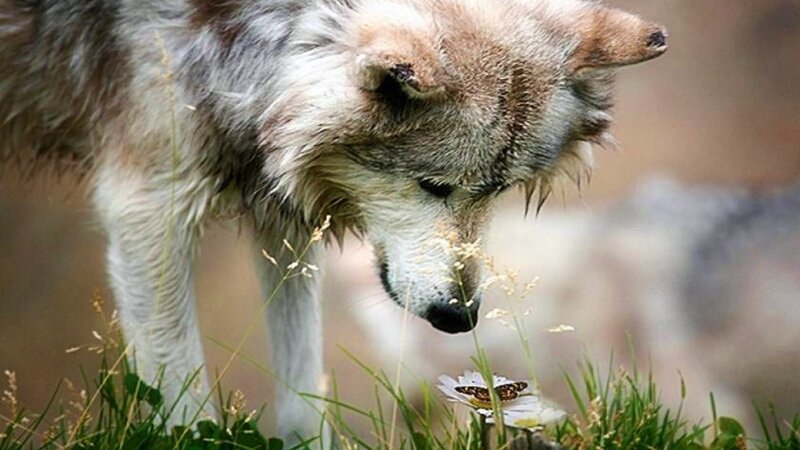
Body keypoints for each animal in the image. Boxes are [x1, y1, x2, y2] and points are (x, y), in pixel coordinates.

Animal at [0, 0, 666, 442]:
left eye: (496, 189)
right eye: (433, 185)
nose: (461, 318)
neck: (258, 44)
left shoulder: (287, 224)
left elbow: (301, 396)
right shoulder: (148, 211)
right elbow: (187, 414)